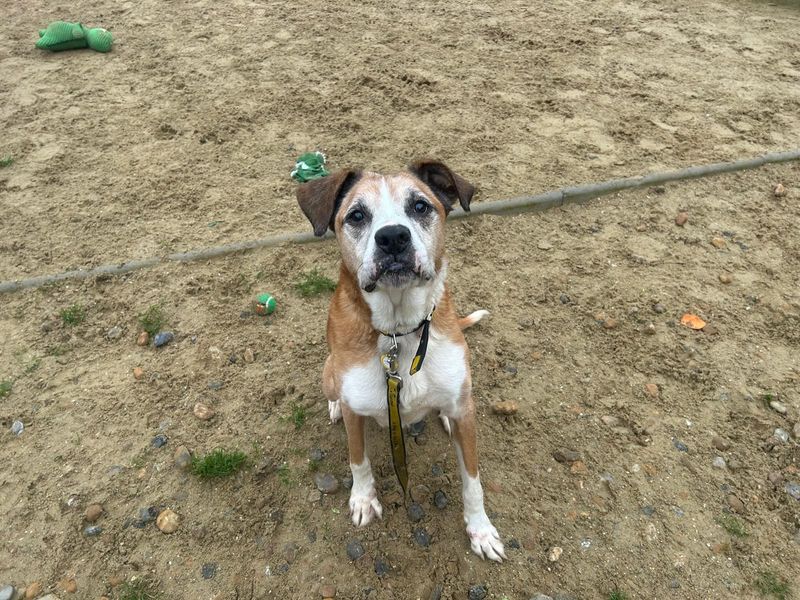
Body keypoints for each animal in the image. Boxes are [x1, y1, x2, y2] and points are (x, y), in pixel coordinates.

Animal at [294, 159, 506, 564]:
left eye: (420, 206)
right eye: (357, 215)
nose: (393, 237)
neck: (400, 333)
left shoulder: (465, 414)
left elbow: (473, 481)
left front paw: (481, 530)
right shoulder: (356, 410)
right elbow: (358, 459)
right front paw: (363, 500)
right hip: (329, 372)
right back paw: (333, 406)